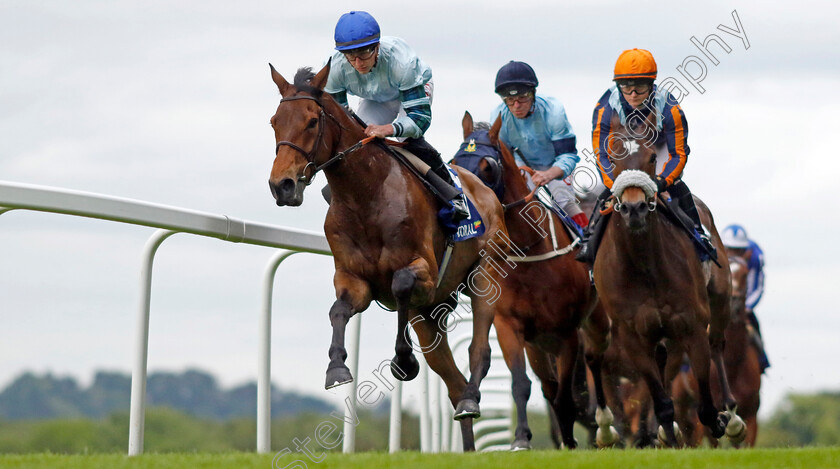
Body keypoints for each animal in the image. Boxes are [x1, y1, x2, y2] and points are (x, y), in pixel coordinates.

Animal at [266, 63, 508, 450]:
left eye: (312, 121)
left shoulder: (424, 273)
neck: (365, 194)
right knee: (453, 384)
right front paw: (336, 368)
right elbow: (338, 311)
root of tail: (485, 191)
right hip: (429, 315)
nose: (282, 185)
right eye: (275, 121)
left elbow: (401, 283)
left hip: (485, 273)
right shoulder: (353, 280)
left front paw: (403, 362)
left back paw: (472, 396)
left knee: (479, 350)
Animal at [456, 111, 612, 448]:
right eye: (455, 162)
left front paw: (570, 441)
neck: (529, 250)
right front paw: (521, 438)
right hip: (538, 344)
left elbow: (566, 397)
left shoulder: (567, 332)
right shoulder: (510, 326)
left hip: (594, 322)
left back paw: (604, 428)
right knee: (549, 387)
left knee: (594, 359)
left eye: (488, 167)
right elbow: (522, 385)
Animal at [592, 111, 744, 444]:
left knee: (717, 343)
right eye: (613, 156)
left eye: (651, 158)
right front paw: (667, 437)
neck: (644, 265)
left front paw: (719, 421)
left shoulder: (691, 325)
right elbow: (662, 403)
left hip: (720, 298)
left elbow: (705, 406)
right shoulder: (632, 336)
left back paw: (732, 416)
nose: (634, 208)